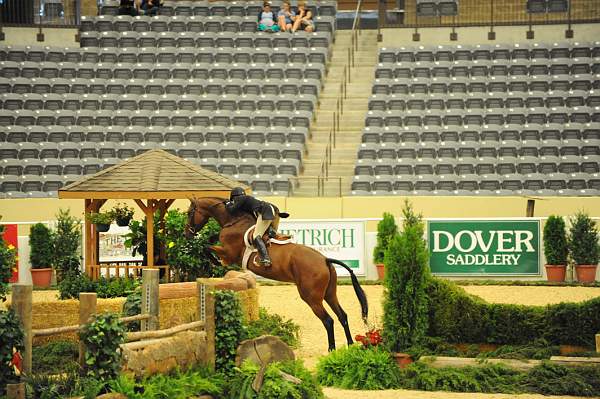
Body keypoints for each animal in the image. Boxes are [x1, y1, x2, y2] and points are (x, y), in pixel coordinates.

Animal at [185, 198, 368, 352]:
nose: (187, 234)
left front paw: (214, 261)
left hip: (312, 297)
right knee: (342, 315)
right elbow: (209, 241)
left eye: (189, 213)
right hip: (329, 293)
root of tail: (325, 260)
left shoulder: (229, 254)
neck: (233, 221)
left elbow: (207, 247)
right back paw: (350, 345)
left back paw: (331, 349)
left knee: (328, 320)